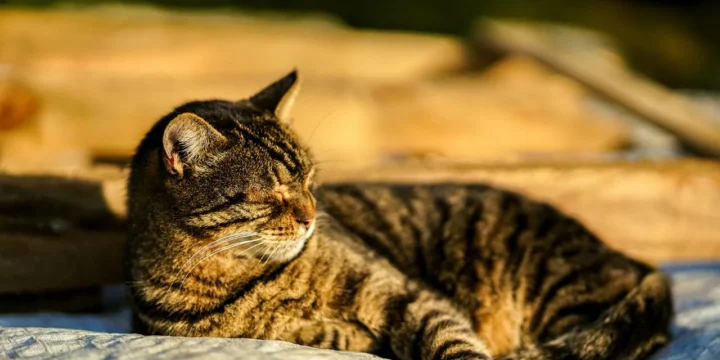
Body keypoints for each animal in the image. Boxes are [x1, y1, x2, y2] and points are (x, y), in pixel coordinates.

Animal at [126, 70, 672, 360]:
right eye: (272, 193)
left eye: (309, 182)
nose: (311, 216)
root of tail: (634, 261)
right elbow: (309, 332)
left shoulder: (405, 293)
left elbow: (450, 341)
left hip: (558, 289)